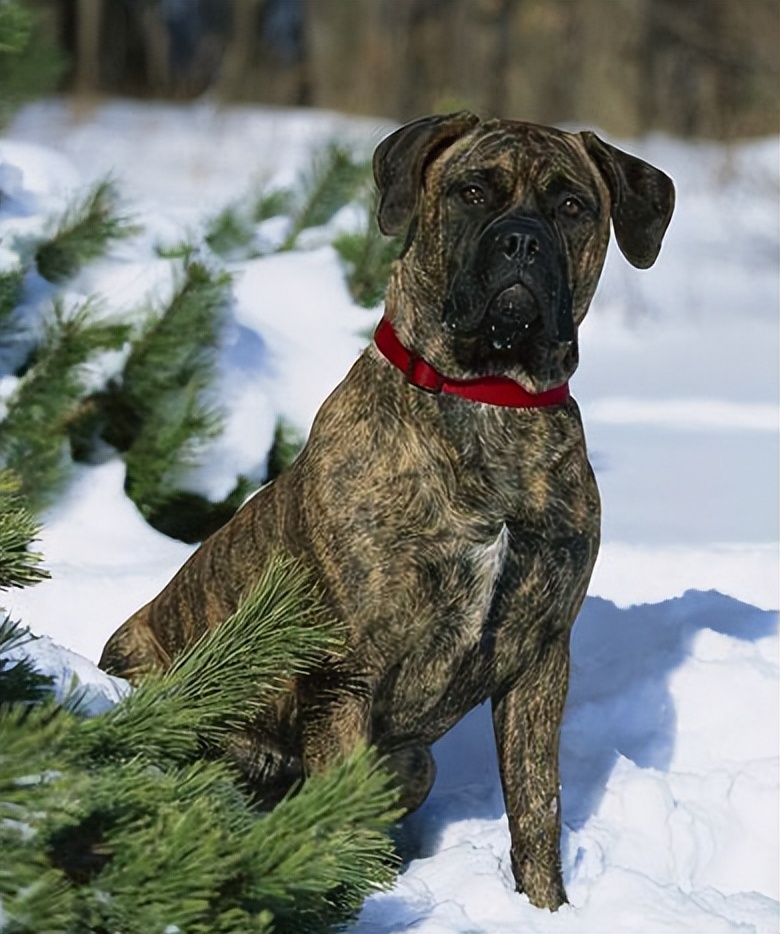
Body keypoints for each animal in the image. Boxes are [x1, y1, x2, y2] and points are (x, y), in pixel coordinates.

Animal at [99, 115, 672, 916]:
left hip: (413, 763)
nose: (521, 242)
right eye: (471, 192)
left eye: (571, 206)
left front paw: (545, 908)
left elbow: (538, 808)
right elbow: (341, 812)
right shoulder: (346, 672)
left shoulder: (540, 657)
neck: (490, 400)